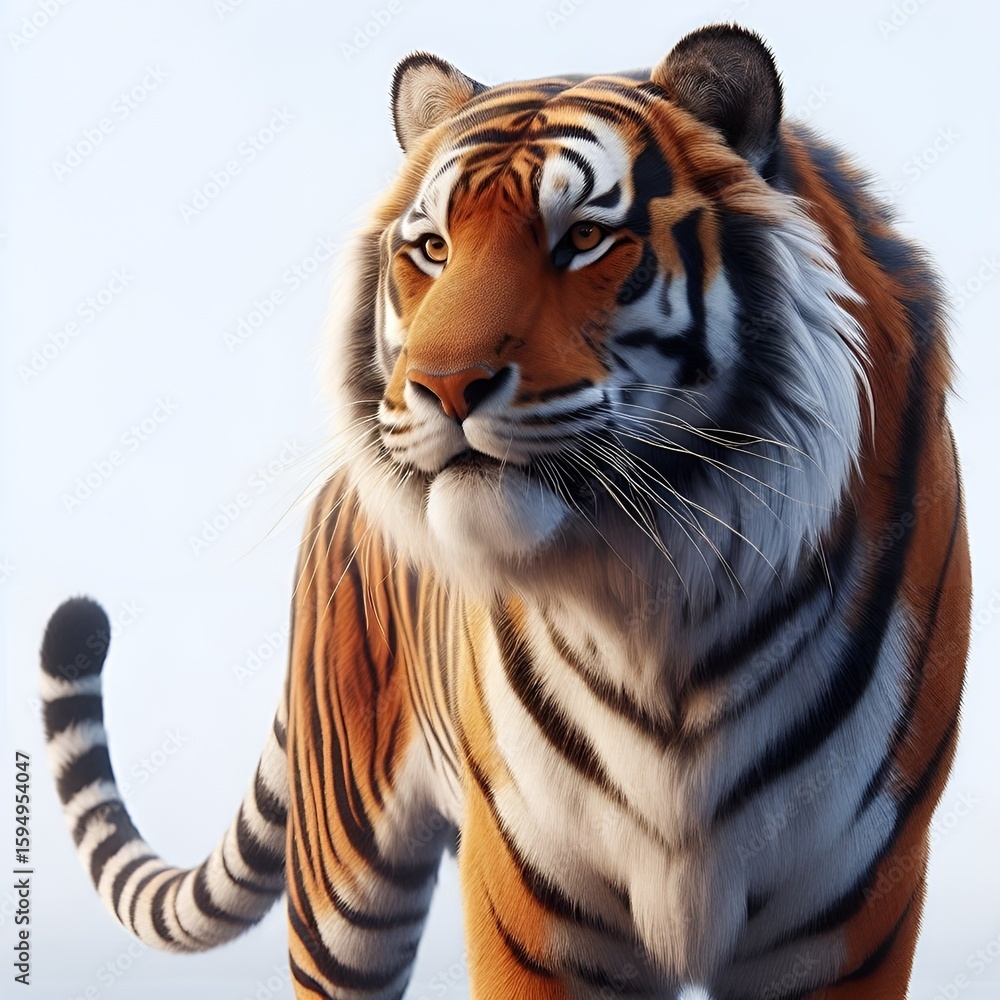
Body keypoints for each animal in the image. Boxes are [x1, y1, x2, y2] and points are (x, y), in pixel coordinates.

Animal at [41, 23, 971, 1000]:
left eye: (586, 238)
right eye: (433, 248)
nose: (442, 385)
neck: (663, 608)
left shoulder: (849, 908)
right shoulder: (530, 897)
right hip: (342, 883)